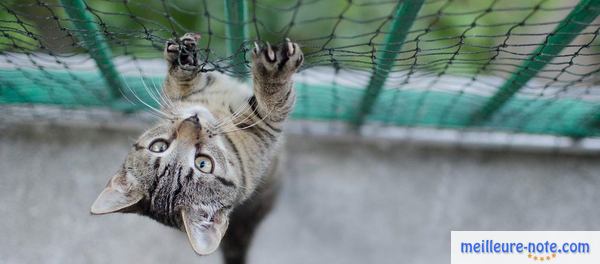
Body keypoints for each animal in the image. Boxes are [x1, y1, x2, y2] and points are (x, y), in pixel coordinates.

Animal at [89, 33, 302, 264]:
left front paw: (183, 56)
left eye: (158, 146)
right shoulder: (266, 129)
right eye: (203, 163)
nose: (192, 121)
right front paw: (274, 70)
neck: (216, 112)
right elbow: (274, 100)